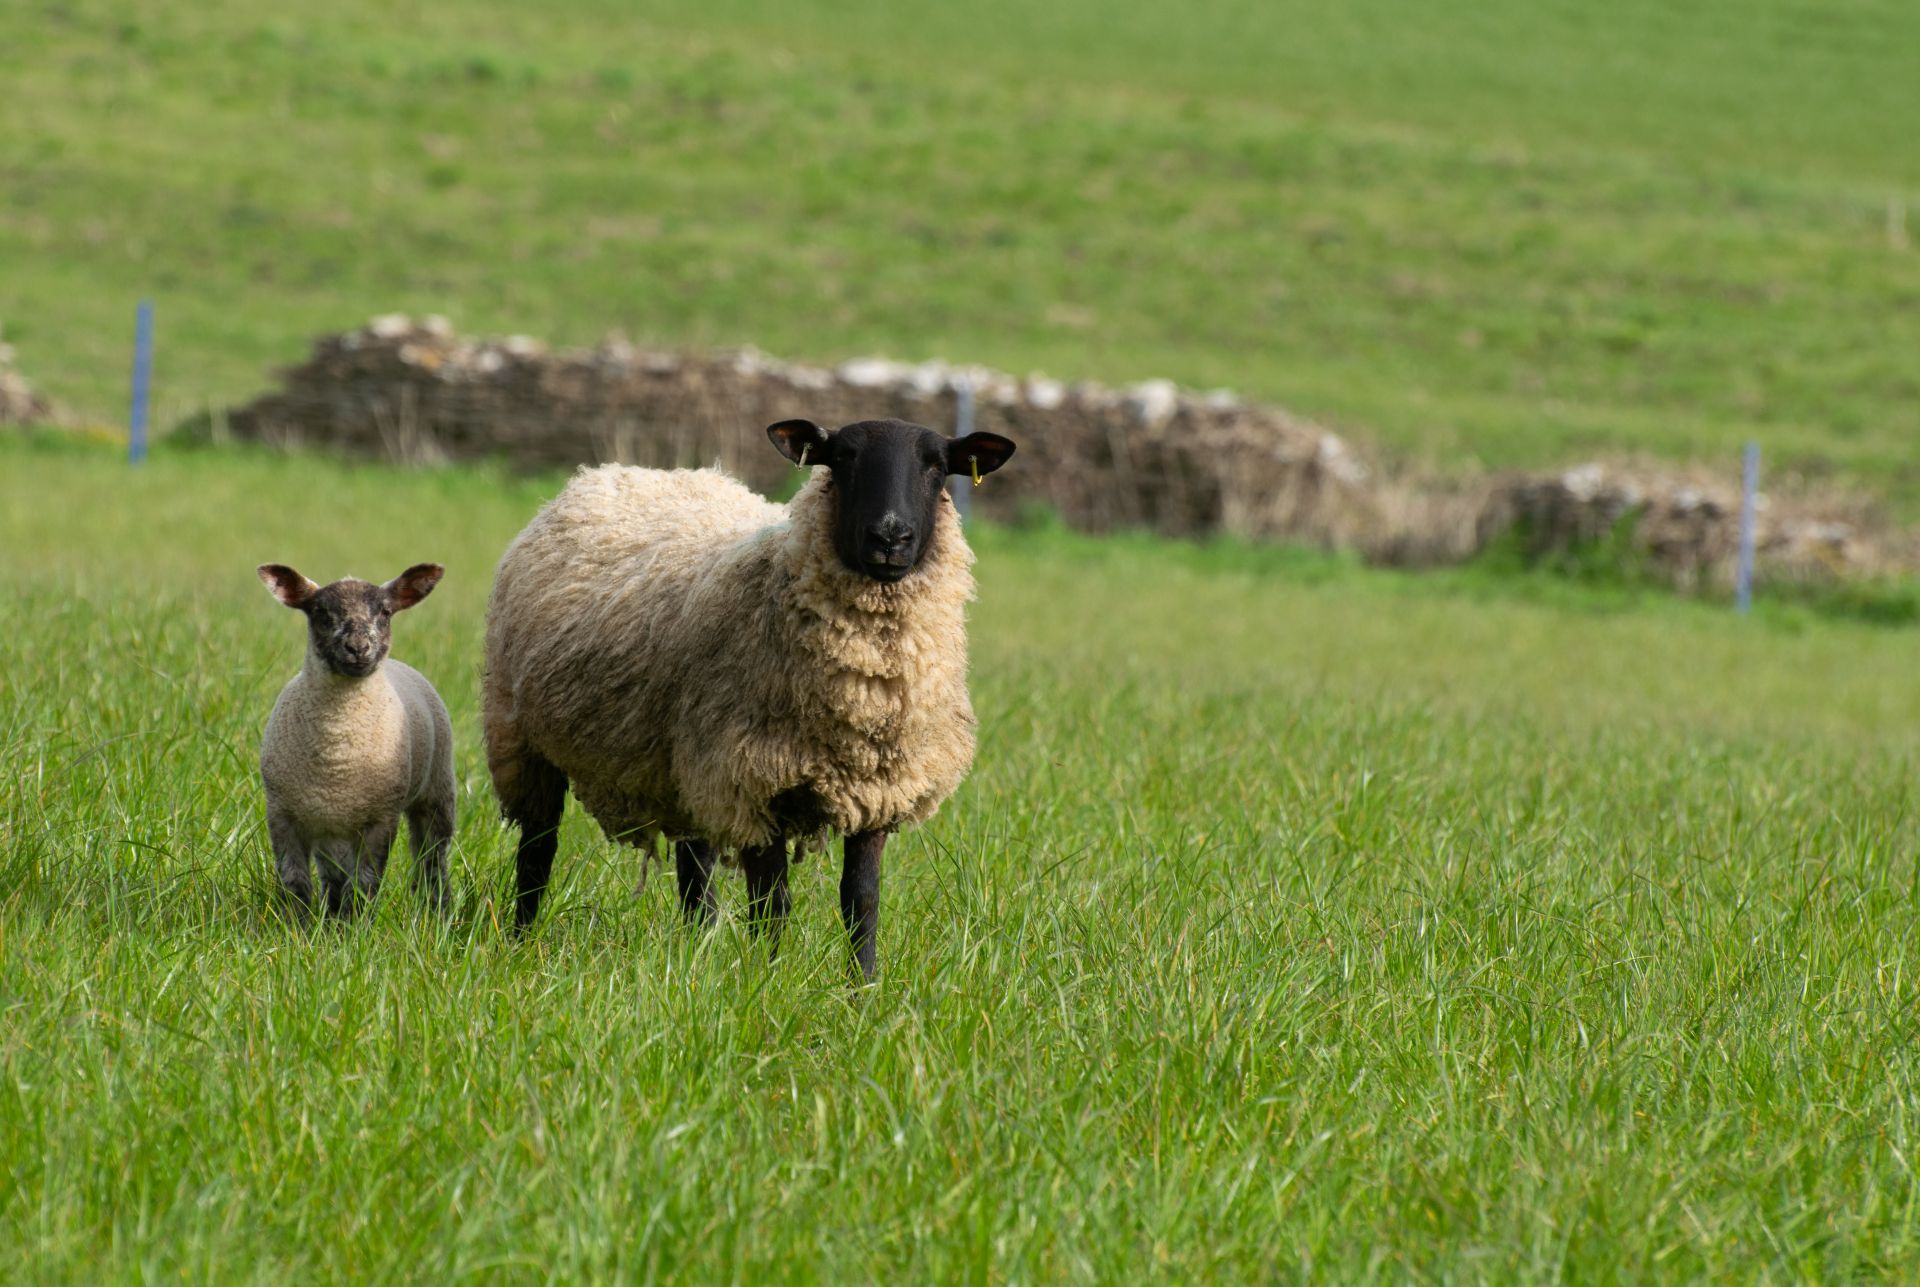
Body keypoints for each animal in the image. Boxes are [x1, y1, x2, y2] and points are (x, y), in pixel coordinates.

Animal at [257, 562, 457, 920]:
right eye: (321, 613)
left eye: (386, 612)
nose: (358, 647)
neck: (337, 752)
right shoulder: (282, 815)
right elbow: (295, 882)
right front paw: (296, 925)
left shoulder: (380, 819)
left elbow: (366, 883)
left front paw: (356, 926)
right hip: (331, 826)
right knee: (334, 874)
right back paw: (332, 915)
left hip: (436, 791)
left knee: (432, 858)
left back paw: (437, 911)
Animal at [483, 416, 1016, 979]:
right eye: (842, 457)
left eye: (937, 465)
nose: (890, 536)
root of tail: (615, 472)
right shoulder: (756, 780)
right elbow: (772, 903)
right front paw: (771, 981)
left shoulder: (876, 789)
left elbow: (862, 901)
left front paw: (863, 987)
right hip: (521, 738)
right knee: (537, 849)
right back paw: (520, 941)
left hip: (684, 762)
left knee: (695, 865)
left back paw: (699, 945)